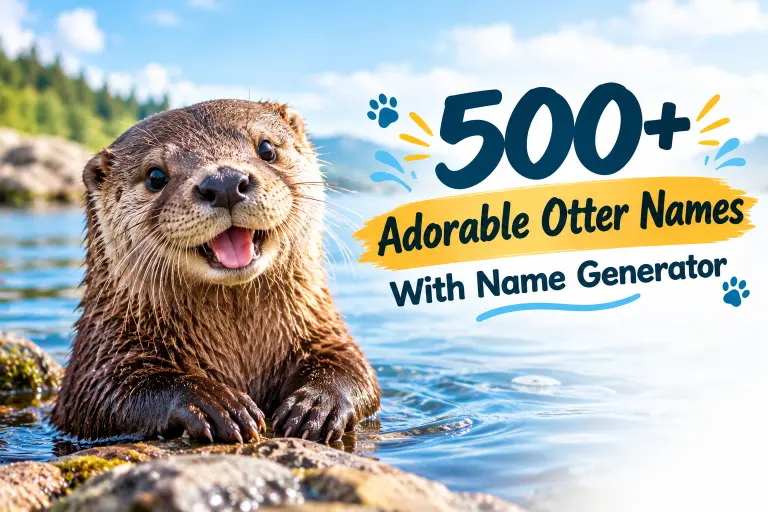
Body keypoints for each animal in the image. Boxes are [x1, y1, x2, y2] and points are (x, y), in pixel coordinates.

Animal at [51, 100, 380, 444]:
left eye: (266, 148)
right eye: (155, 175)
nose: (224, 182)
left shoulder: (320, 328)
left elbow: (353, 367)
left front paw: (317, 404)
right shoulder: (101, 357)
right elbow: (110, 392)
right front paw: (212, 403)